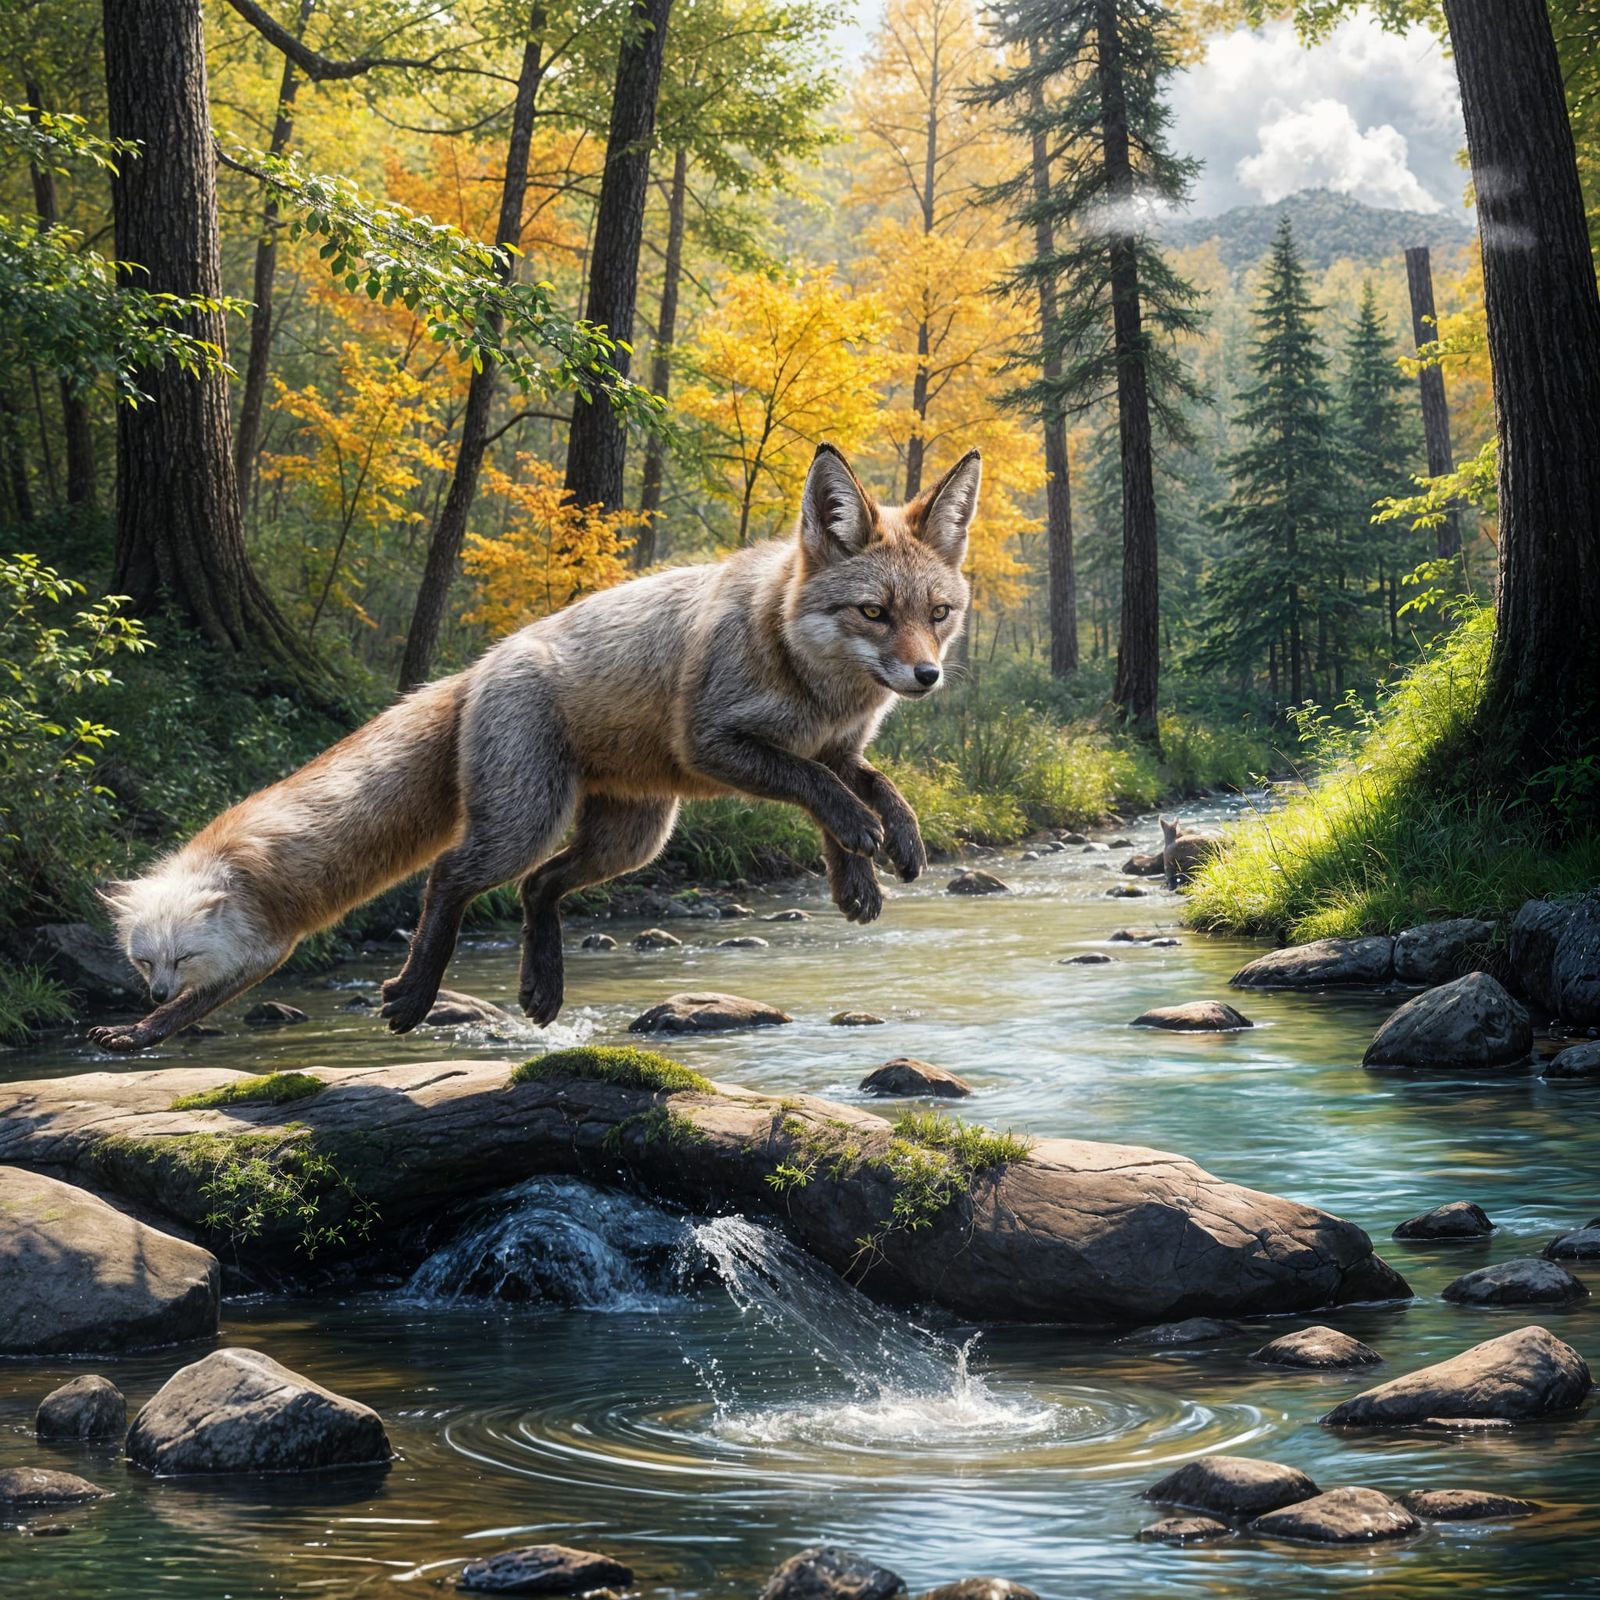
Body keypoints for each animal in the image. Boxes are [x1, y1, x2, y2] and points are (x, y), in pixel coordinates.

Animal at [90, 443, 980, 1053]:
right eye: (873, 612)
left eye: (937, 613)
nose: (927, 676)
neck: (812, 681)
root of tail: (478, 664)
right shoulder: (714, 743)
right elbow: (818, 790)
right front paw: (864, 846)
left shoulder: (840, 745)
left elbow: (868, 787)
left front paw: (878, 861)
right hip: (529, 820)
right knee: (454, 876)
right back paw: (415, 995)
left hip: (631, 838)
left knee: (539, 888)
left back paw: (541, 987)